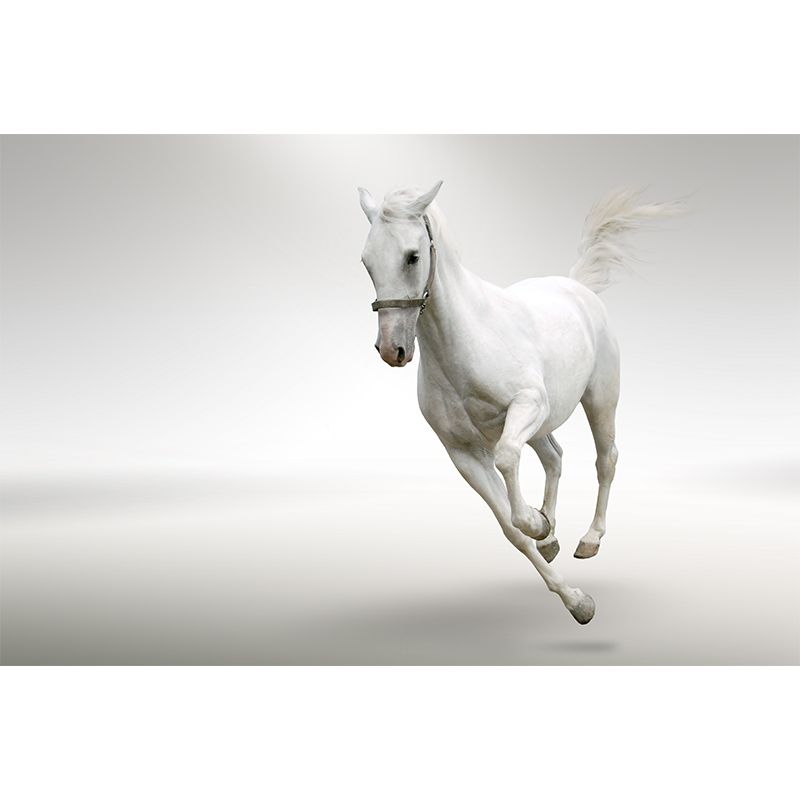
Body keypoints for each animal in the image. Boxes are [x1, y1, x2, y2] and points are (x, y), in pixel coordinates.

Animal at [358, 182, 681, 624]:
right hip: (544, 425)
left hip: (599, 399)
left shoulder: (527, 406)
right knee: (555, 457)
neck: (467, 340)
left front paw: (538, 525)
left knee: (606, 460)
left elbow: (509, 460)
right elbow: (511, 530)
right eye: (366, 262)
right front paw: (575, 596)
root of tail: (576, 286)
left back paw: (589, 539)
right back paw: (552, 535)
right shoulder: (462, 453)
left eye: (412, 256)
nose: (392, 350)